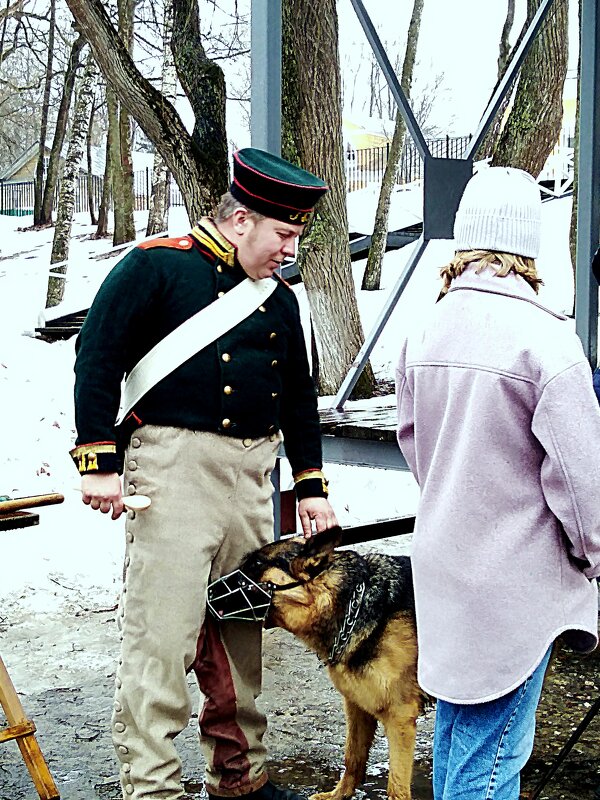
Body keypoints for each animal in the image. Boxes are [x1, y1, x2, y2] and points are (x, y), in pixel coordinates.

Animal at [237, 528, 424, 796]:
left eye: (256, 564)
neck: (352, 605)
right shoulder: (357, 705)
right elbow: (352, 756)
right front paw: (339, 795)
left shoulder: (400, 718)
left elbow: (396, 786)